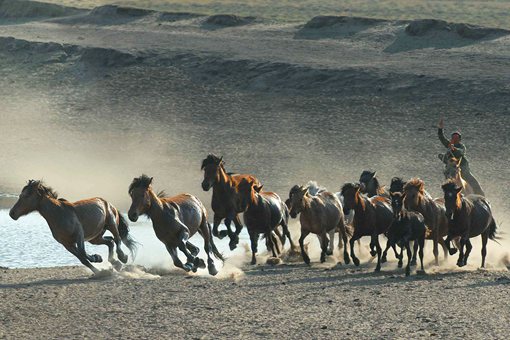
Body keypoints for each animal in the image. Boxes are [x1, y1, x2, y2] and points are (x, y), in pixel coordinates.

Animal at [9, 181, 137, 274]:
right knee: (110, 241)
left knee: (117, 239)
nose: (12, 213)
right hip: (94, 238)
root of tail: (107, 202)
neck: (59, 214)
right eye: (20, 195)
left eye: (26, 195)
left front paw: (96, 258)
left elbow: (82, 252)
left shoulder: (79, 235)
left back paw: (122, 258)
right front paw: (98, 270)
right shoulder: (67, 244)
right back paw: (115, 263)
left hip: (111, 223)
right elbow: (82, 258)